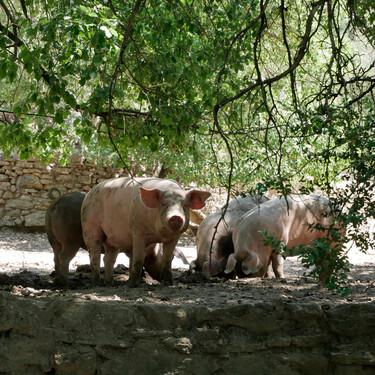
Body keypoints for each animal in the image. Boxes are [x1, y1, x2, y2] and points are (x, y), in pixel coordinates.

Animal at [80, 178, 212, 286]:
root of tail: (89, 193)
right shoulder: (137, 231)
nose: (176, 216)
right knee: (95, 254)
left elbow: (166, 259)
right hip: (89, 225)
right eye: (164, 203)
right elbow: (138, 259)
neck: (157, 237)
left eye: (185, 205)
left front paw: (169, 283)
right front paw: (132, 284)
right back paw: (96, 283)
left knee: (109, 258)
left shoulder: (175, 237)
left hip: (112, 239)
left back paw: (110, 283)